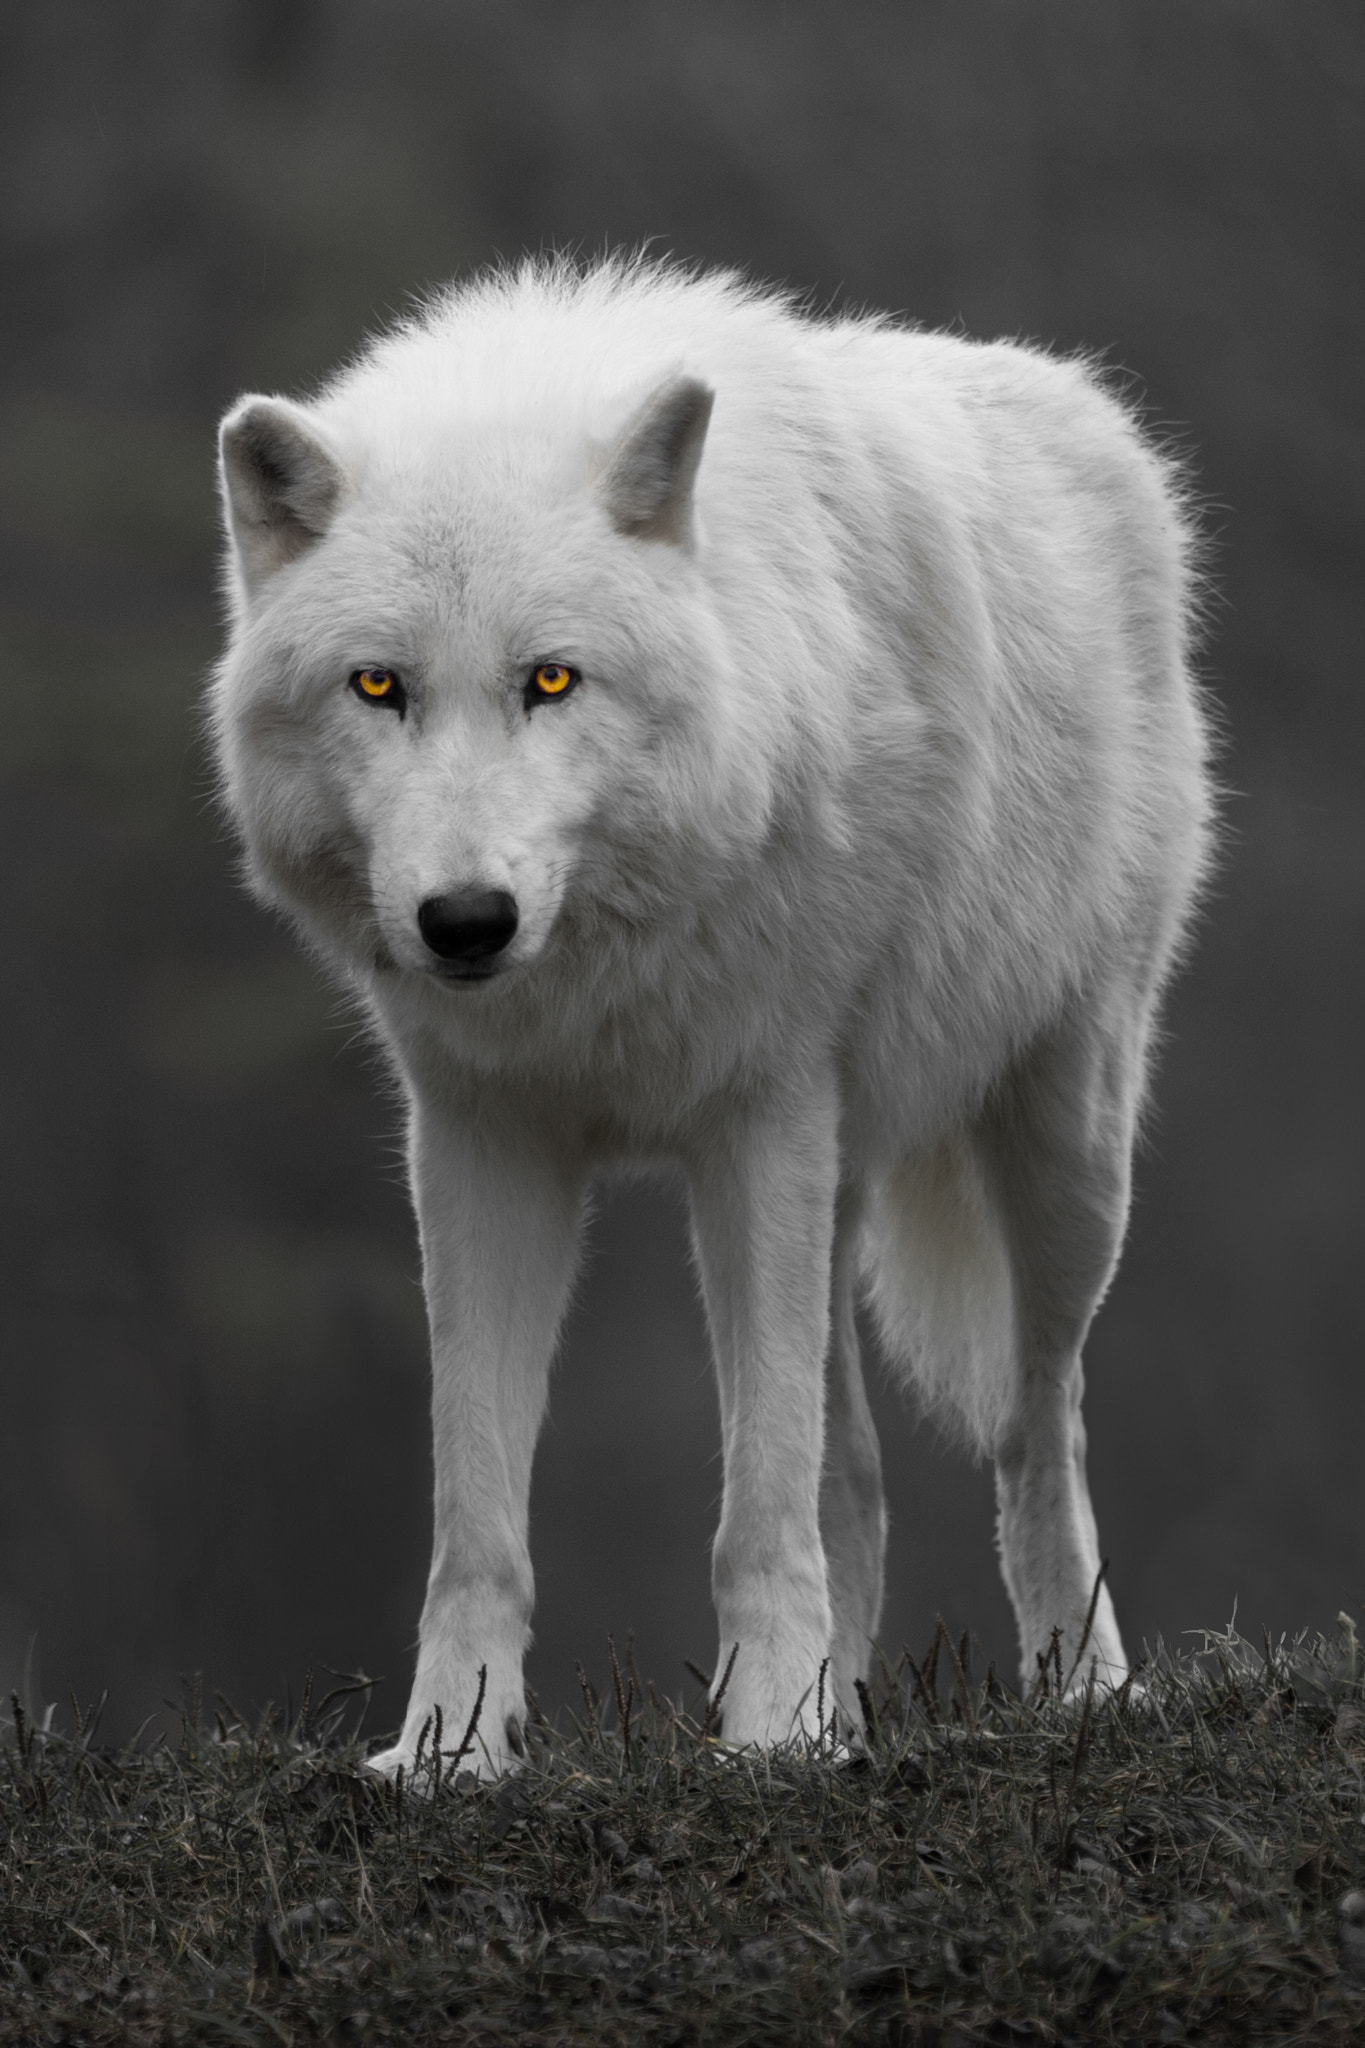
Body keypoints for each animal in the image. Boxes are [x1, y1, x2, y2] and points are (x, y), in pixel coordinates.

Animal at [211, 257, 1211, 1775]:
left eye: (550, 678)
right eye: (377, 685)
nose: (465, 920)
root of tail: (1096, 410)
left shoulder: (758, 1121)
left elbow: (759, 1513)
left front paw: (765, 1746)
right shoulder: (479, 1144)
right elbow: (476, 1521)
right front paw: (451, 1753)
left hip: (1060, 1152)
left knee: (1038, 1428)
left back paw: (1078, 1692)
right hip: (844, 1182)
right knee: (857, 1481)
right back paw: (842, 1707)